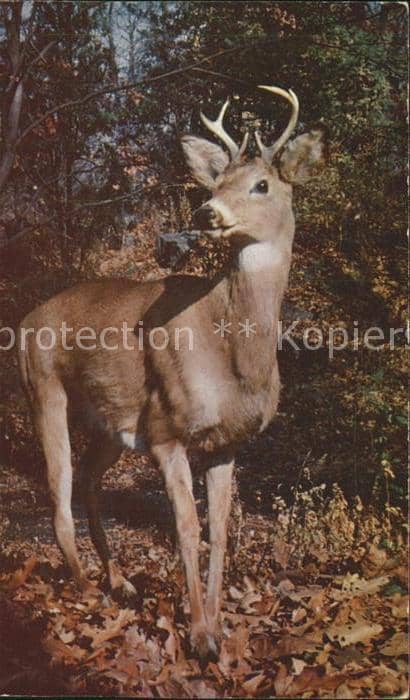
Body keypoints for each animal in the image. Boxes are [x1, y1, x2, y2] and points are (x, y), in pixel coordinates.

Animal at [17, 85, 326, 659]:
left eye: (262, 183)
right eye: (216, 181)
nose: (207, 211)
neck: (233, 357)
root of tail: (25, 320)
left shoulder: (228, 442)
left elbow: (221, 530)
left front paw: (220, 626)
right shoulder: (165, 431)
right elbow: (185, 527)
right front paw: (201, 636)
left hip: (110, 422)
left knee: (88, 481)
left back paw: (120, 581)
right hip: (42, 387)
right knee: (58, 491)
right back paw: (88, 587)